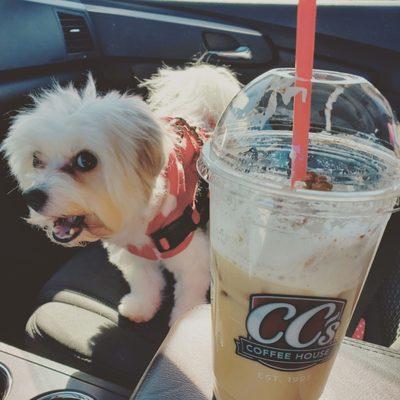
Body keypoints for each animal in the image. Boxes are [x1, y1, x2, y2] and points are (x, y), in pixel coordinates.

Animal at [1, 63, 241, 324]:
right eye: (35, 159)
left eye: (85, 160)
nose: (32, 197)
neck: (141, 216)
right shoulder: (133, 254)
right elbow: (144, 282)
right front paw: (141, 307)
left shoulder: (191, 256)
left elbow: (189, 295)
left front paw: (184, 322)